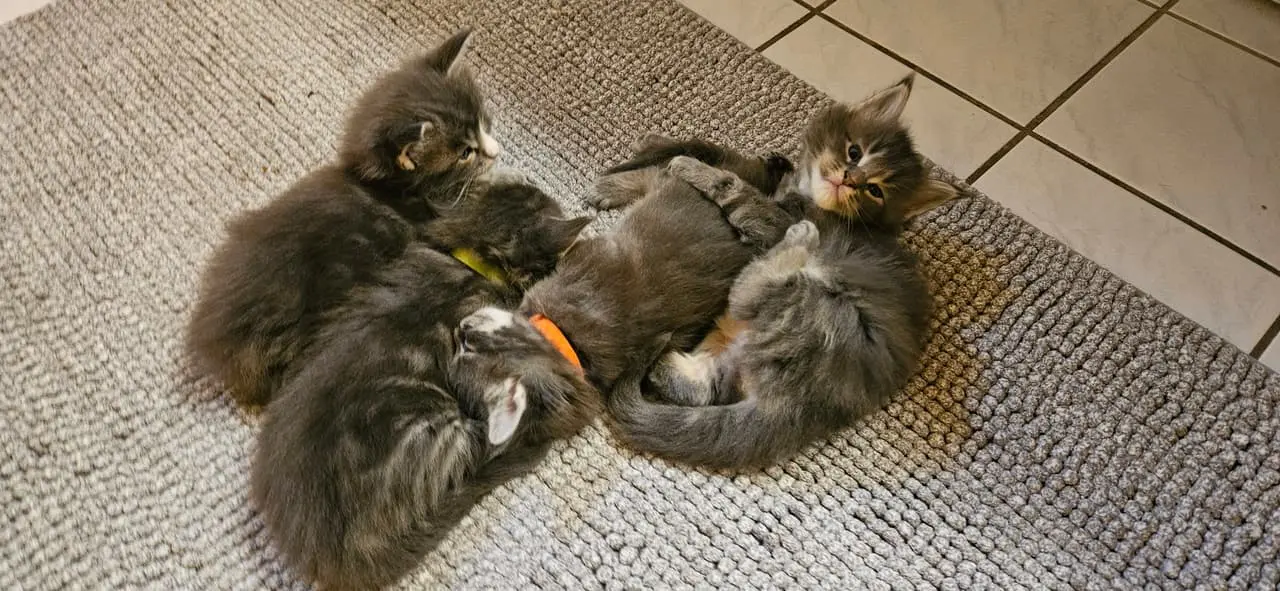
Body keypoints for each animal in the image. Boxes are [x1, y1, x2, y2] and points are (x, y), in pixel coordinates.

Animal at [608, 74, 957, 470]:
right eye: (855, 152)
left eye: (874, 190)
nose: (849, 178)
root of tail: (803, 405)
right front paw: (656, 142)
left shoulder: (772, 218)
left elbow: (732, 184)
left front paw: (687, 165)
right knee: (694, 384)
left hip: (817, 301)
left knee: (747, 295)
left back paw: (798, 242)